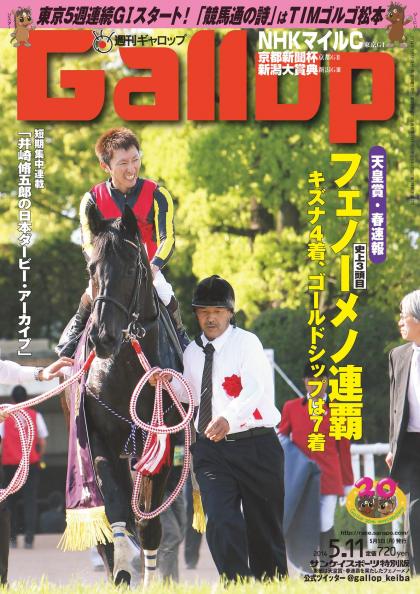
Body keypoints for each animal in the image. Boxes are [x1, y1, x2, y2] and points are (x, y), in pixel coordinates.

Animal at [83, 203, 183, 586]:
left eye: (130, 268)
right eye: (91, 268)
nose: (102, 336)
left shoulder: (161, 444)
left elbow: (148, 523)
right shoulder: (99, 439)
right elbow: (116, 515)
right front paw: (123, 568)